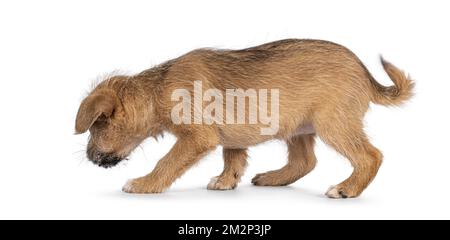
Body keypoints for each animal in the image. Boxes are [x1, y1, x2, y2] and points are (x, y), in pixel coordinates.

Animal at [74, 38, 414, 198]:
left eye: (94, 127)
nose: (89, 157)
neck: (158, 88)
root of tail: (364, 72)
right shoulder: (231, 137)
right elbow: (233, 159)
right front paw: (226, 181)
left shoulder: (197, 139)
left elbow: (166, 162)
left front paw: (145, 184)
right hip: (298, 128)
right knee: (305, 161)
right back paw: (273, 178)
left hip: (334, 125)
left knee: (370, 156)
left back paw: (346, 189)